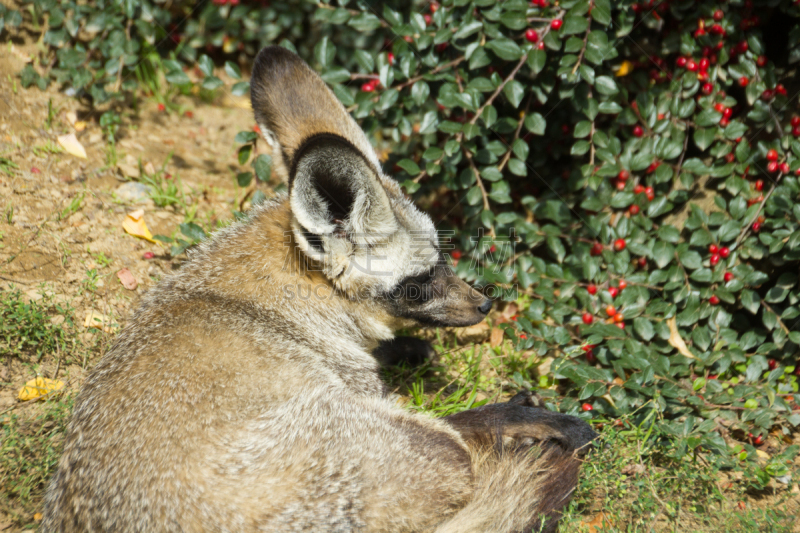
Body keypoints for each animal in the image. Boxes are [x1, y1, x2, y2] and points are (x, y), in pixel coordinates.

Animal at [42, 46, 592, 532]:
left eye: (444, 256)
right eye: (420, 282)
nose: (485, 304)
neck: (289, 307)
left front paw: (408, 349)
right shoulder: (373, 397)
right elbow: (467, 417)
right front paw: (535, 419)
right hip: (430, 447)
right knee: (463, 435)